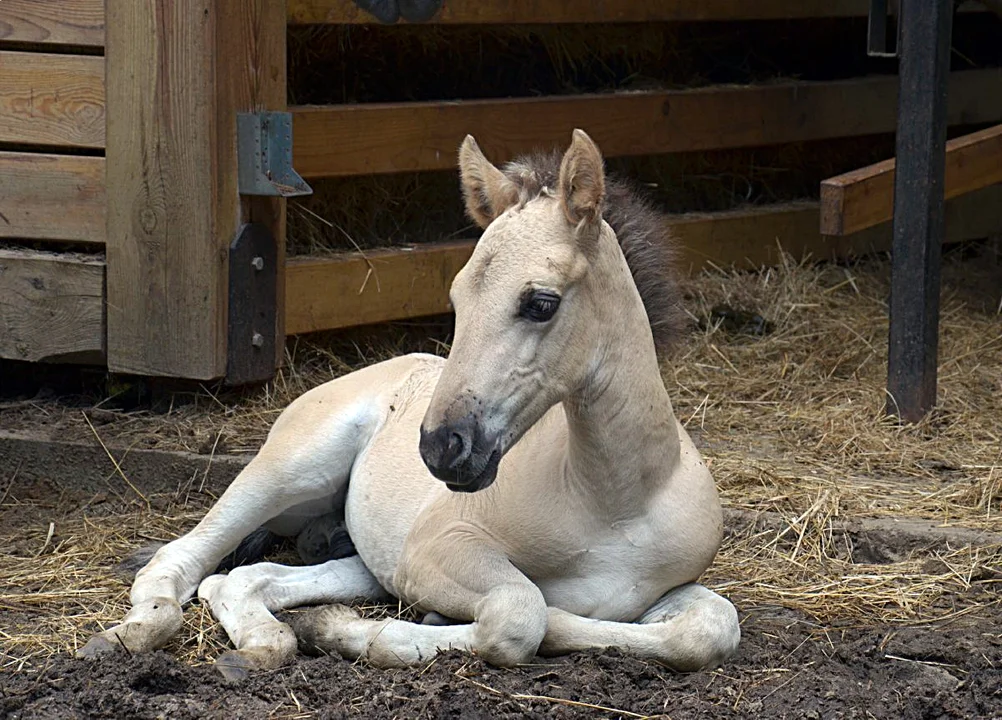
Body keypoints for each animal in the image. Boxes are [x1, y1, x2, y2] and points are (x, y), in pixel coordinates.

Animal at [78, 131, 741, 680]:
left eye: (541, 302)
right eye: (457, 296)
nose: (441, 447)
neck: (613, 501)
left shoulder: (675, 587)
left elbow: (711, 629)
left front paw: (349, 629)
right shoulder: (436, 548)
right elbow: (524, 613)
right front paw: (379, 634)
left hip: (364, 553)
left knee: (243, 579)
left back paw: (268, 645)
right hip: (292, 471)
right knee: (184, 556)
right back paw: (133, 633)